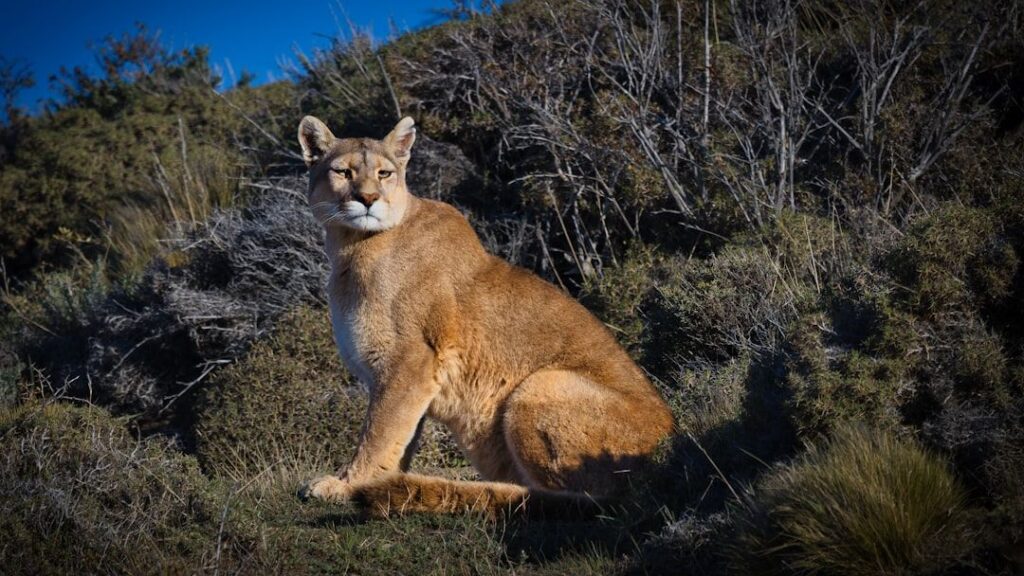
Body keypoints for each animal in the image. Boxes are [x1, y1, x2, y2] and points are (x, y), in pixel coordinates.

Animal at [296, 115, 675, 518]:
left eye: (384, 173)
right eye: (343, 171)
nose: (367, 199)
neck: (351, 246)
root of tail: (664, 462)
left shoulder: (410, 359)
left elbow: (378, 432)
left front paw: (345, 485)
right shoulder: (404, 376)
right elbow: (398, 438)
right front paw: (375, 482)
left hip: (541, 384)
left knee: (567, 500)